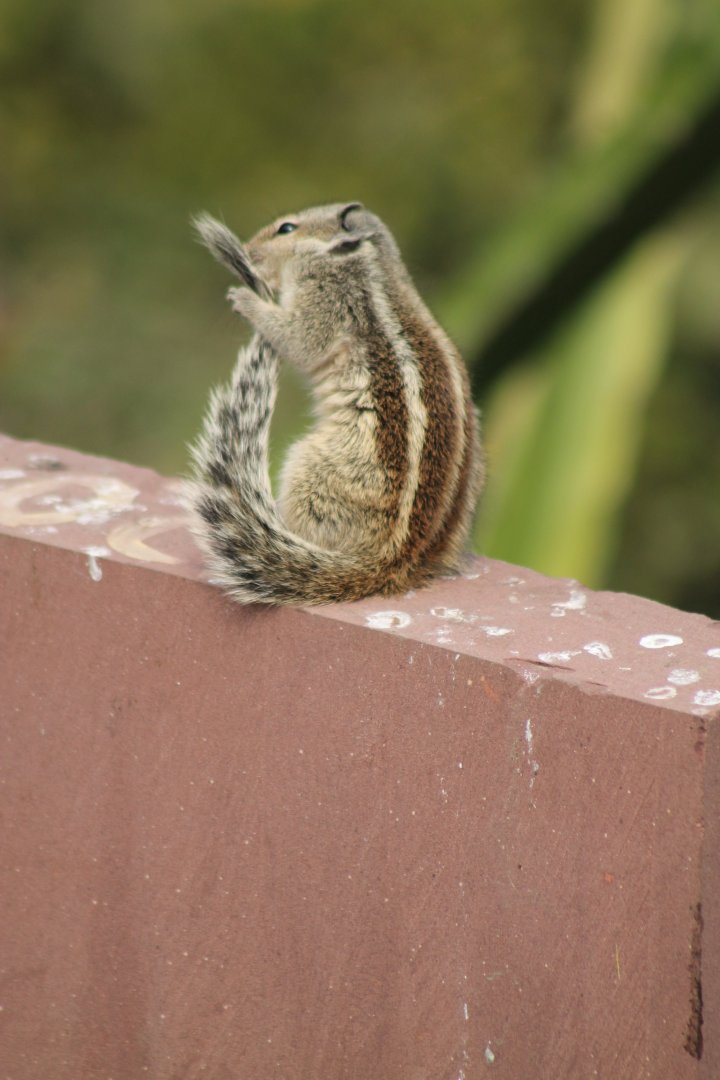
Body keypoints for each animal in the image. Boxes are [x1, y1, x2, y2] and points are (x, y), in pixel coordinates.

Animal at [188, 202, 484, 605]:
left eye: (286, 228)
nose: (249, 251)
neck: (364, 257)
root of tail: (394, 561)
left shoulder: (324, 305)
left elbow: (298, 339)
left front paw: (246, 300)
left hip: (311, 473)